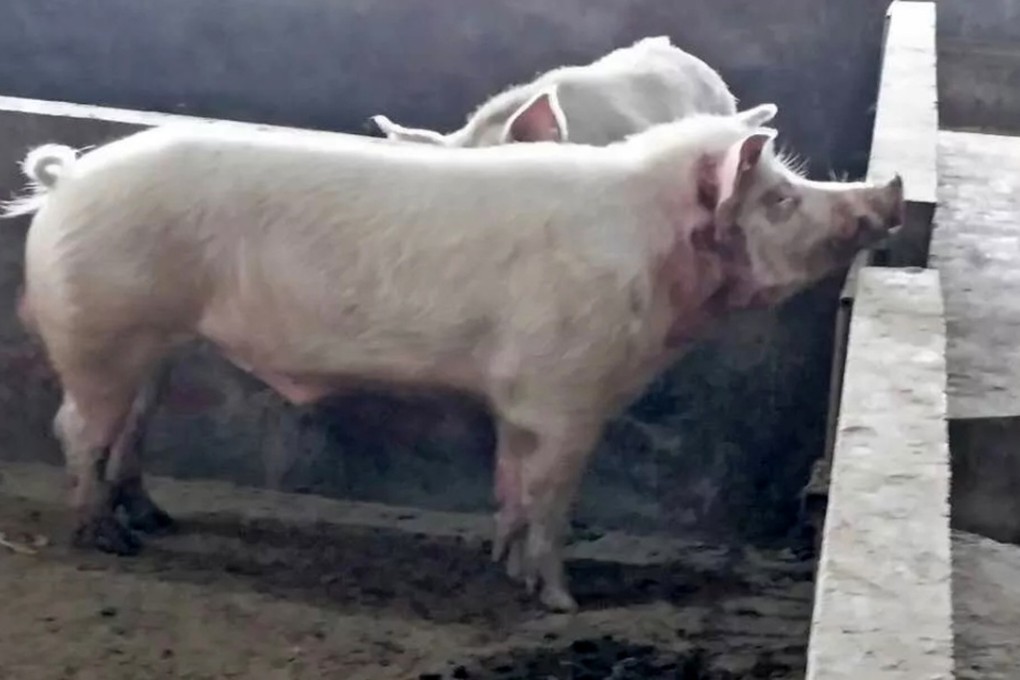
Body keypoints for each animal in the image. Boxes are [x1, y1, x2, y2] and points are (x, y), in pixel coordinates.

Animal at [2, 102, 903, 612]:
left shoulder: (521, 402)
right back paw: (107, 540)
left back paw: (153, 520)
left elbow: (511, 482)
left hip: (150, 345)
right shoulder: (569, 396)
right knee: (76, 428)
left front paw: (504, 567)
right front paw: (561, 602)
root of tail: (66, 180)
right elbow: (551, 496)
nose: (889, 190)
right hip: (101, 327)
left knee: (127, 430)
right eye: (780, 200)